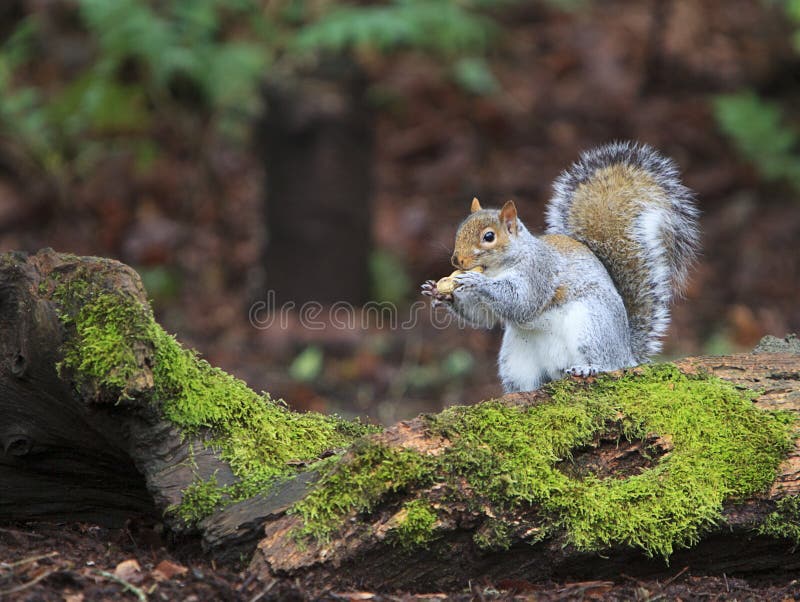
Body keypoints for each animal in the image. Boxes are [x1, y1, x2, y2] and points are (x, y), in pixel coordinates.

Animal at [421, 141, 699, 393]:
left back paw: (590, 368)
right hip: (516, 359)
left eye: (488, 237)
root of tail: (627, 354)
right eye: (460, 228)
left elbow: (521, 301)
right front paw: (437, 292)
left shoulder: (539, 272)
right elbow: (483, 315)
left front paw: (476, 282)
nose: (457, 261)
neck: (499, 267)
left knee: (608, 364)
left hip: (591, 326)